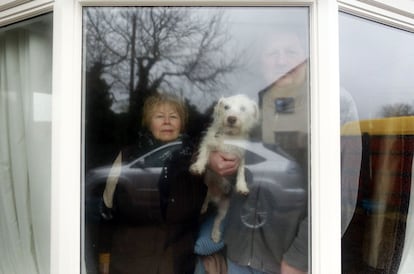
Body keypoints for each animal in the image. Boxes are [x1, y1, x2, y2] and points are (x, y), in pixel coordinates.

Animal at [190, 94, 258, 242]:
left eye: (243, 108)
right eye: (226, 107)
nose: (231, 118)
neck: (229, 136)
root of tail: (216, 197)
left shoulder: (240, 157)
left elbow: (241, 171)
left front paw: (242, 186)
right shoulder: (208, 143)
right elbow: (204, 154)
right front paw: (198, 166)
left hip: (224, 208)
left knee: (217, 221)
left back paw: (215, 234)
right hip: (207, 186)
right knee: (206, 198)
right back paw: (203, 207)